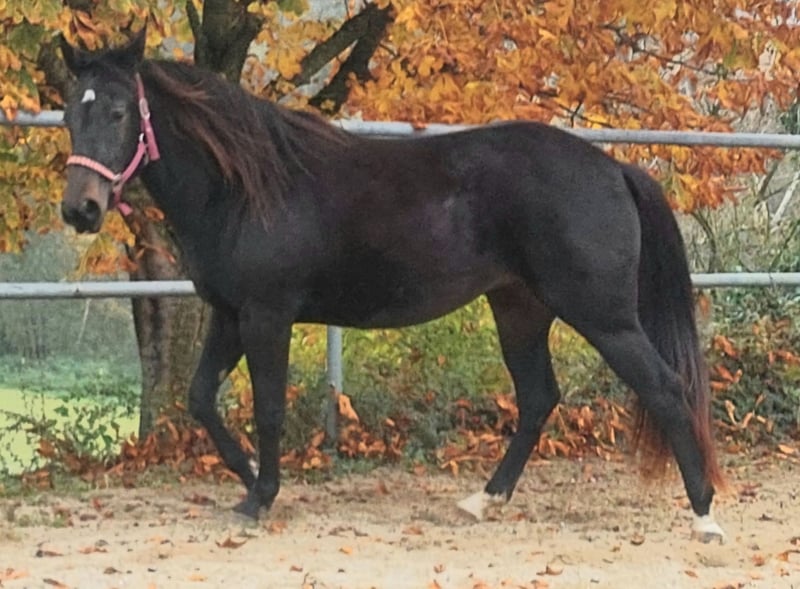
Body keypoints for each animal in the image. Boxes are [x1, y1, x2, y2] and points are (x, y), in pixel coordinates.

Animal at [58, 29, 725, 542]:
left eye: (118, 112)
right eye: (69, 113)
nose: (80, 210)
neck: (247, 187)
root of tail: (612, 167)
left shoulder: (267, 316)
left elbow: (269, 409)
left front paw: (263, 495)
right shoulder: (229, 314)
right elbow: (200, 399)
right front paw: (250, 484)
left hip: (603, 316)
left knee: (666, 389)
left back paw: (704, 517)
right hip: (520, 309)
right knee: (538, 399)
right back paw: (484, 500)